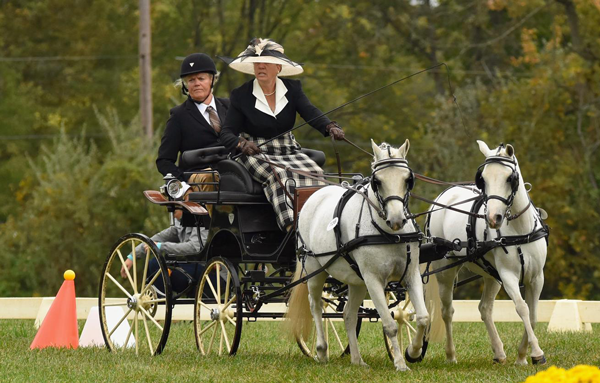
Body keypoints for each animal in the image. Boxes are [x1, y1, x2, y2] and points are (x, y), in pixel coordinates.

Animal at [284, 140, 426, 370]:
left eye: (408, 179)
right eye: (377, 181)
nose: (396, 219)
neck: (389, 234)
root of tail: (315, 194)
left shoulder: (411, 275)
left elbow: (422, 317)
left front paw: (412, 351)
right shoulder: (373, 279)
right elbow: (390, 324)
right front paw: (400, 363)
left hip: (356, 281)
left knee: (349, 314)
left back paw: (357, 359)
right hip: (315, 269)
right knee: (316, 305)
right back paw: (321, 350)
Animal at [426, 141, 548, 366]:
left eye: (510, 178)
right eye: (483, 179)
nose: (493, 218)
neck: (519, 229)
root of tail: (444, 195)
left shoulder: (536, 277)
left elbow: (533, 315)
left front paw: (522, 356)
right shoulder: (508, 276)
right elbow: (522, 308)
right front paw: (536, 352)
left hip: (491, 275)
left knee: (484, 309)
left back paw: (499, 352)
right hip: (445, 271)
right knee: (447, 311)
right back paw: (450, 355)